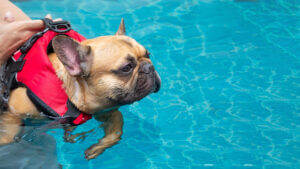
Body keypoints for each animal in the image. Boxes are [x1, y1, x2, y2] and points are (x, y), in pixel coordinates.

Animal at [0, 19, 162, 160]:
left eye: (148, 55)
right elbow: (9, 133)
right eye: (127, 68)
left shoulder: (106, 109)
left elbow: (117, 127)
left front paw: (97, 148)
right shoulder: (13, 110)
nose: (149, 66)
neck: (71, 94)